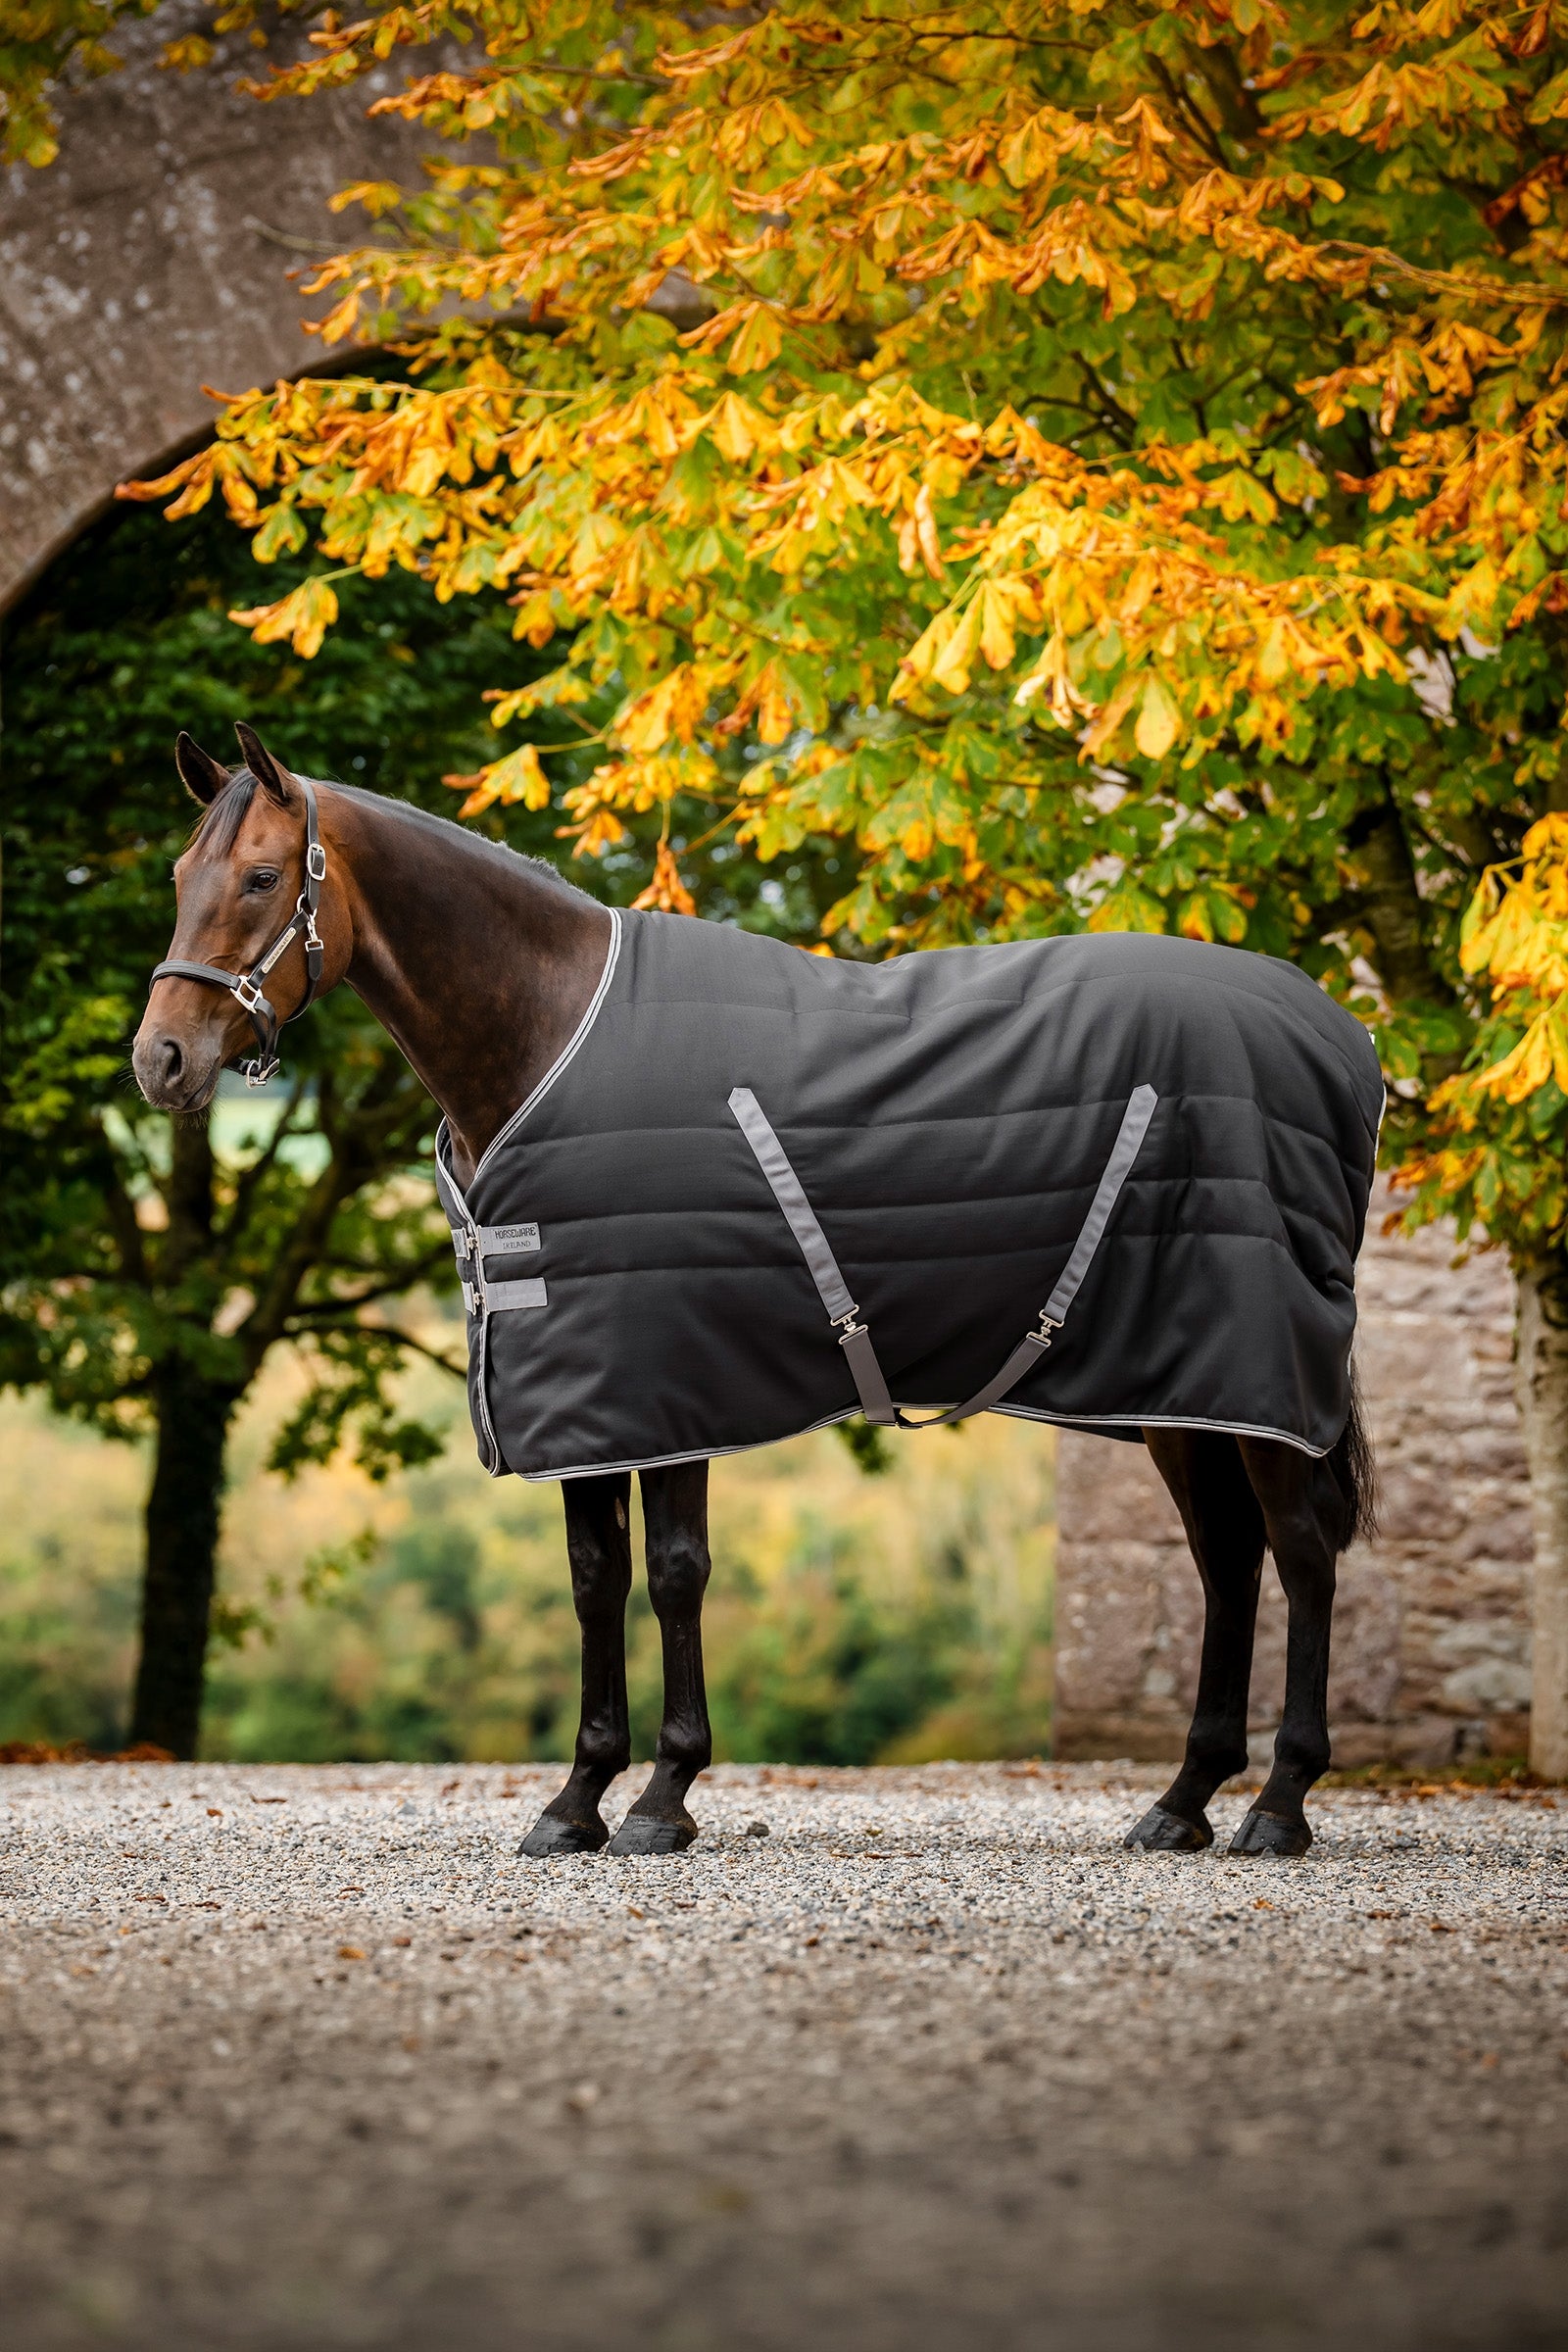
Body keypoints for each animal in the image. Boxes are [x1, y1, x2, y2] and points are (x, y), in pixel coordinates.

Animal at [134, 723, 1379, 1861]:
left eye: (260, 878)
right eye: (181, 877)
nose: (159, 1061)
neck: (545, 1030)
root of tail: (1340, 1033)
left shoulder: (663, 1374)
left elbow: (675, 1575)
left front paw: (660, 1798)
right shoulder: (578, 1395)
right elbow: (595, 1579)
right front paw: (575, 1801)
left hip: (1259, 1378)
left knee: (1302, 1550)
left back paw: (1277, 1804)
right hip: (1184, 1392)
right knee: (1228, 1557)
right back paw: (1182, 1801)